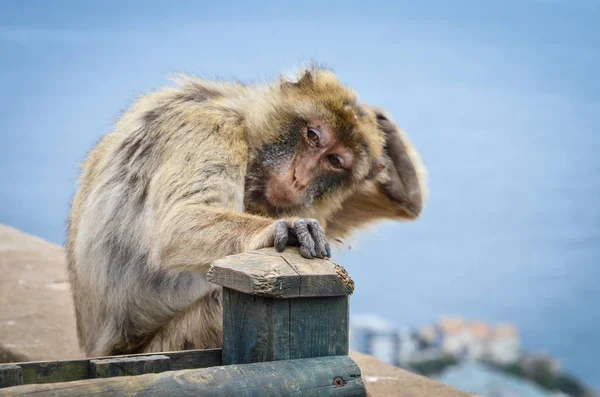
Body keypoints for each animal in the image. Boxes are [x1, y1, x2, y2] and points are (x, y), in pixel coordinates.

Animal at [65, 64, 426, 356]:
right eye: (313, 135)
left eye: (335, 161)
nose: (298, 178)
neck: (243, 120)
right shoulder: (213, 126)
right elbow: (179, 222)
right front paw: (285, 228)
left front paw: (396, 161)